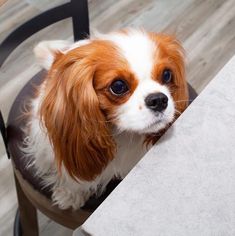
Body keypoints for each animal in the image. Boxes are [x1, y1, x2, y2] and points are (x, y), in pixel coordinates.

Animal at [23, 28, 188, 209]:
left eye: (166, 75)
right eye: (118, 86)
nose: (158, 100)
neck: (122, 134)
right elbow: (71, 178)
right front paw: (70, 194)